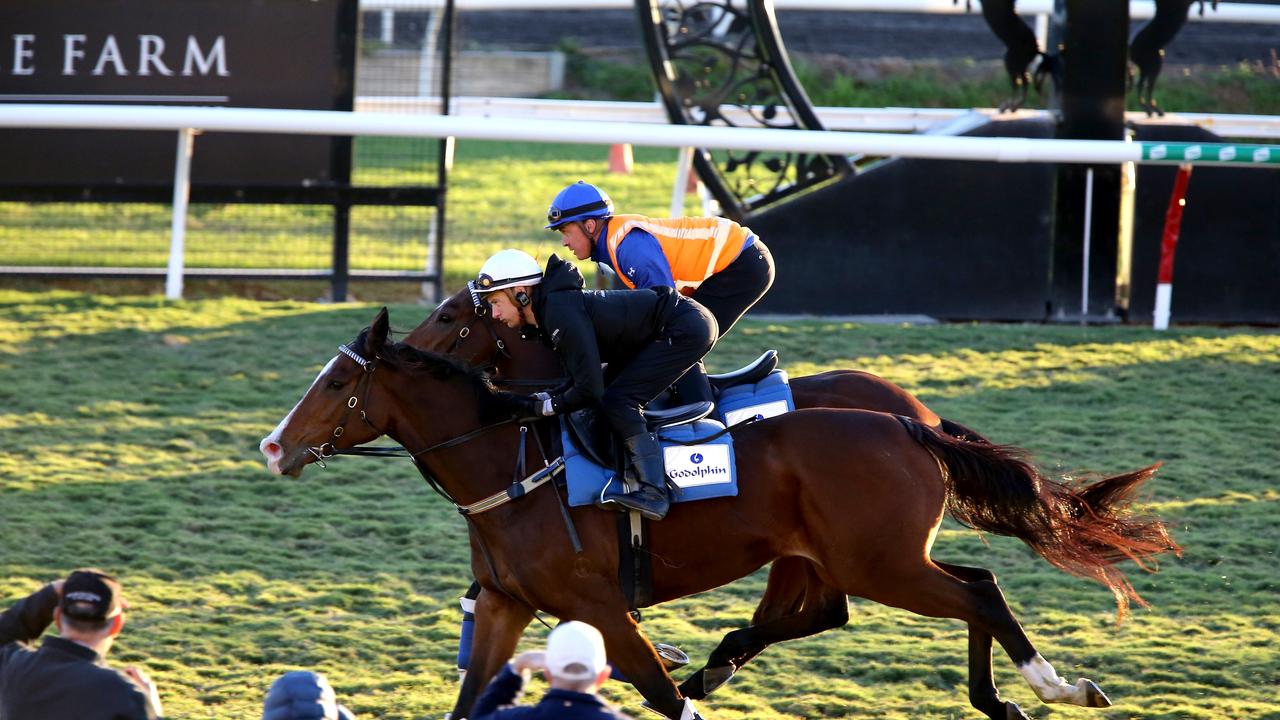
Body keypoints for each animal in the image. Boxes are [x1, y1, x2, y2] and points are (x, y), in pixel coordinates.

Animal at [259, 308, 1177, 717]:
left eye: (336, 384)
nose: (272, 447)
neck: (515, 470)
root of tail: (909, 425)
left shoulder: (600, 607)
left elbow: (666, 698)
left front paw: (689, 678)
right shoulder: (506, 604)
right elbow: (469, 695)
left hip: (877, 563)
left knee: (975, 592)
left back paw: (1050, 684)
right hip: (857, 557)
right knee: (964, 584)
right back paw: (1003, 697)